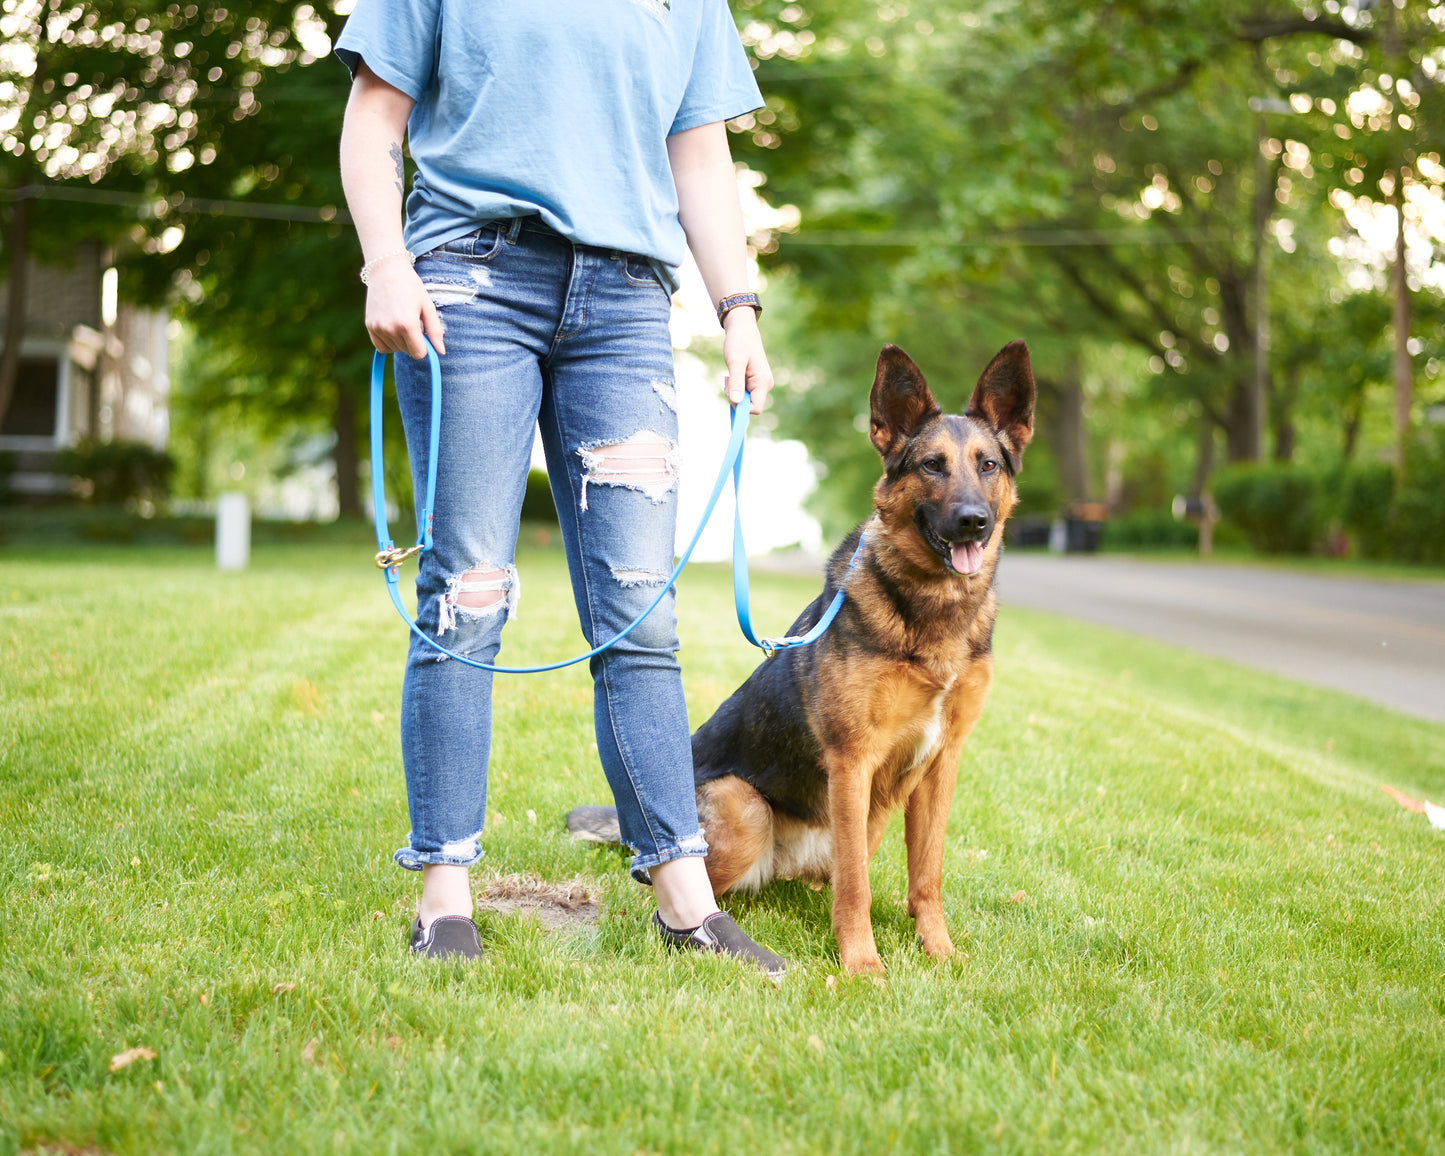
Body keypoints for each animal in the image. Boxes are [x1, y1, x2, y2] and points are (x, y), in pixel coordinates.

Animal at [569, 341, 1034, 976]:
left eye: (988, 465)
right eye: (932, 466)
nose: (973, 522)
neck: (931, 610)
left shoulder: (941, 764)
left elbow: (927, 875)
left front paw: (939, 952)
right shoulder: (852, 761)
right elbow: (856, 885)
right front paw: (863, 966)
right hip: (745, 810)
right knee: (650, 887)